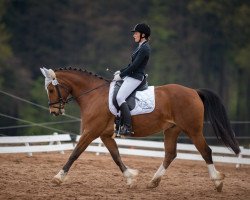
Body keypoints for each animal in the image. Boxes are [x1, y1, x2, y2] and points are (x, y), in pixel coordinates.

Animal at [40, 67, 239, 192]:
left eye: (51, 89)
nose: (54, 111)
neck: (93, 94)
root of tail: (194, 91)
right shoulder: (105, 135)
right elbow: (116, 157)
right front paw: (130, 178)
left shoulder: (90, 132)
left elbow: (75, 154)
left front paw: (58, 178)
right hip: (172, 130)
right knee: (170, 154)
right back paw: (153, 182)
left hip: (193, 130)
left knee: (206, 151)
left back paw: (217, 182)